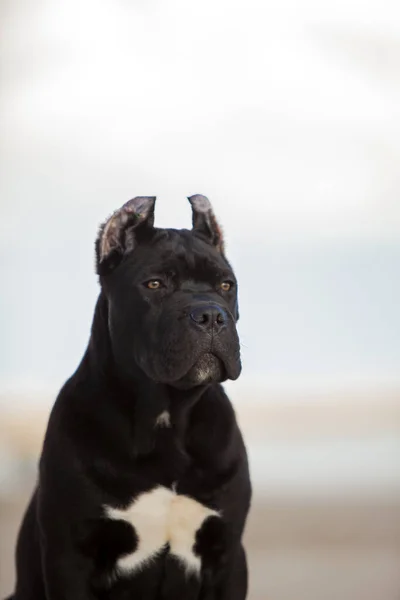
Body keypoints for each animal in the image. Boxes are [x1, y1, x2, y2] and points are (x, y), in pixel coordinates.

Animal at [9, 196, 252, 600]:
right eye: (154, 284)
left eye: (226, 284)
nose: (210, 314)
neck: (166, 415)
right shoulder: (70, 557)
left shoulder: (227, 555)